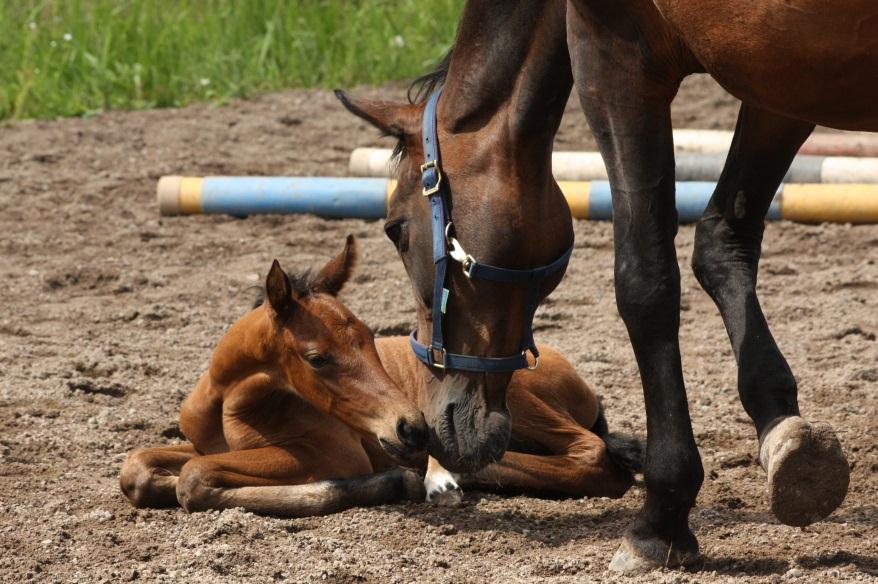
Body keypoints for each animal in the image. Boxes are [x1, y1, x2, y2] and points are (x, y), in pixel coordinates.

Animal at [120, 236, 640, 516]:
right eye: (316, 358)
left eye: (372, 337)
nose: (410, 426)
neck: (228, 402)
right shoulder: (204, 443)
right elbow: (139, 467)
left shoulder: (334, 452)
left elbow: (194, 478)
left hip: (513, 405)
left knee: (590, 456)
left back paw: (429, 477)